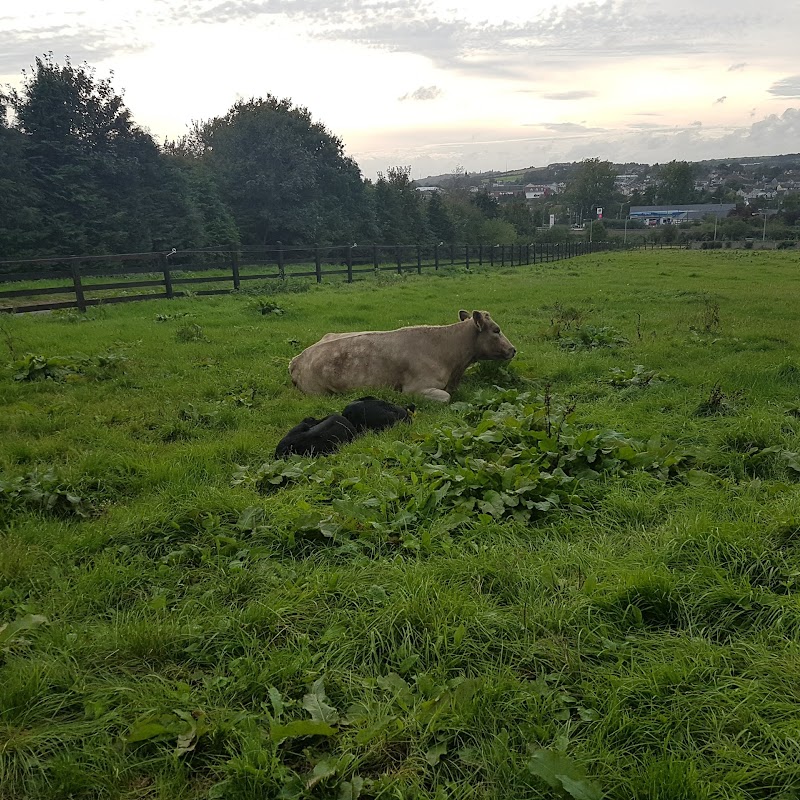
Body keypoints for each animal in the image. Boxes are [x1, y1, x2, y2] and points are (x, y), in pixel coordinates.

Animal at [288, 310, 520, 404]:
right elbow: (445, 397)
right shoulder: (416, 388)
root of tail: (297, 359)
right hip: (319, 393)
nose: (513, 349)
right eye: (496, 330)